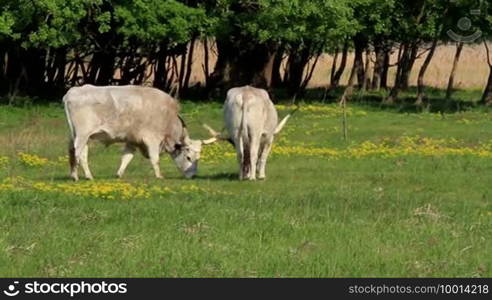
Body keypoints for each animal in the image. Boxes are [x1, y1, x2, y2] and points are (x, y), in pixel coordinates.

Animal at [62, 85, 216, 182]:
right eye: (189, 157)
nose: (193, 176)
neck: (167, 116)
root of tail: (73, 91)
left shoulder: (132, 140)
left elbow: (126, 158)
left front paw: (119, 174)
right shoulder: (152, 139)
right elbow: (155, 159)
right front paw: (159, 176)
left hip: (77, 136)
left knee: (75, 153)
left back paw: (78, 175)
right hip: (82, 135)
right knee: (78, 153)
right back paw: (80, 176)